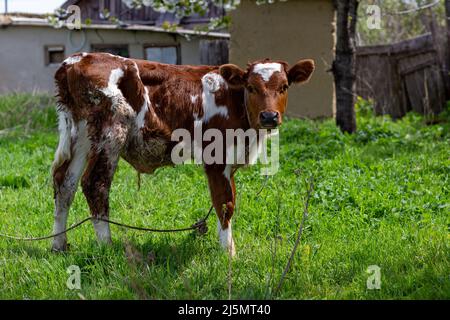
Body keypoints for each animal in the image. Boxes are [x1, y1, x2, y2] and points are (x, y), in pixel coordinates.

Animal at [51, 53, 314, 256]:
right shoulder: (216, 158)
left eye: (284, 87)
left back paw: (59, 245)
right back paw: (107, 246)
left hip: (82, 135)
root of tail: (76, 60)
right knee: (95, 183)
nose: (269, 117)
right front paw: (229, 254)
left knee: (65, 184)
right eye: (251, 87)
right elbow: (224, 203)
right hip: (111, 129)